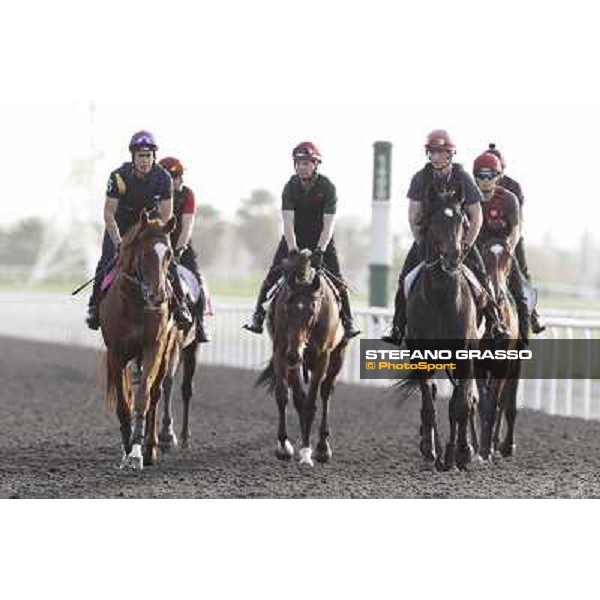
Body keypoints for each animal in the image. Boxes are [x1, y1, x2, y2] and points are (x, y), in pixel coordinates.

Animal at [98, 211, 177, 468]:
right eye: (144, 253)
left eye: (168, 253)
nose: (158, 296)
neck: (135, 302)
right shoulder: (116, 353)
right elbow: (124, 403)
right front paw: (126, 446)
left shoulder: (153, 347)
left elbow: (143, 397)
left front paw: (136, 451)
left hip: (165, 353)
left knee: (155, 394)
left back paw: (150, 446)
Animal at [255, 251, 350, 466]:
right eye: (287, 308)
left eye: (312, 310)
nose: (294, 354)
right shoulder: (282, 352)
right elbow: (287, 397)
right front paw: (284, 446)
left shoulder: (322, 356)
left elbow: (312, 403)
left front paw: (307, 451)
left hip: (337, 355)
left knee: (326, 391)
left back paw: (322, 446)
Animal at [396, 203, 480, 474]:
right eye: (433, 223)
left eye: (463, 222)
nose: (453, 257)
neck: (443, 299)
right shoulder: (422, 357)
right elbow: (429, 407)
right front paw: (434, 451)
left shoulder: (465, 355)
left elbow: (460, 405)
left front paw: (461, 453)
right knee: (433, 395)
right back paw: (435, 450)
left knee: (462, 399)